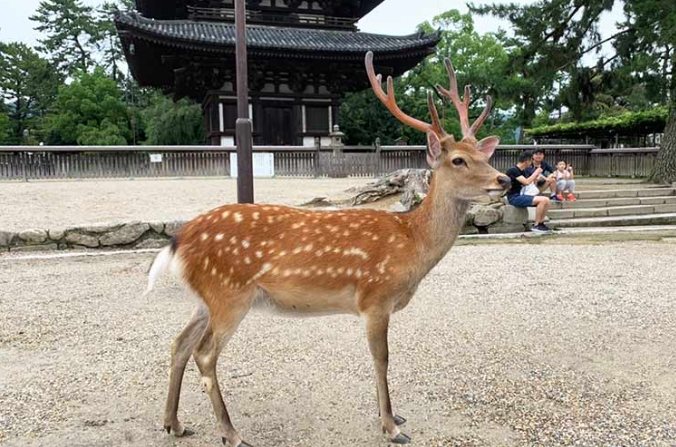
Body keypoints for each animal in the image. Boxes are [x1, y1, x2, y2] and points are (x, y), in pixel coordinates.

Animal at [144, 51, 511, 446]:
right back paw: (231, 432)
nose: (504, 179)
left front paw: (392, 416)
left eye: (483, 154)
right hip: (229, 295)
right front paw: (391, 425)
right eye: (458, 159)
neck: (411, 245)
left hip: (205, 298)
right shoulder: (375, 298)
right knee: (205, 354)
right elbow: (381, 358)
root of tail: (179, 240)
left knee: (179, 344)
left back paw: (174, 423)